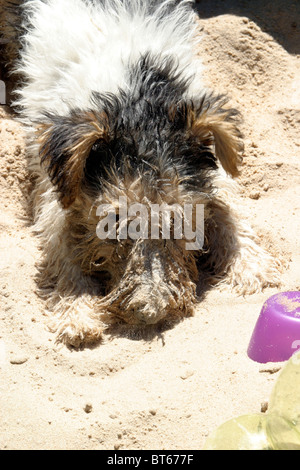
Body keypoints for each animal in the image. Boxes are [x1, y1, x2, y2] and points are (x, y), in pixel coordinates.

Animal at [0, 0, 282, 346]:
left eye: (181, 221)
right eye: (114, 221)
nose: (150, 313)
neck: (132, 92)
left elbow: (227, 206)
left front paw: (250, 265)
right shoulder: (52, 187)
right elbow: (62, 246)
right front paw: (78, 314)